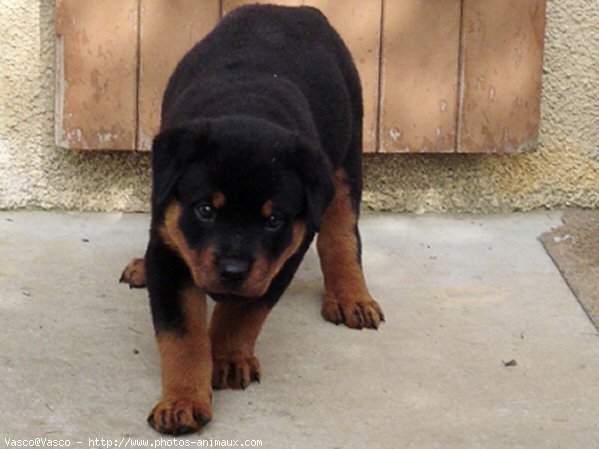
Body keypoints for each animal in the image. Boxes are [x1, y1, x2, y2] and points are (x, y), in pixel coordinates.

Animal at [120, 3, 386, 434]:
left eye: (273, 220)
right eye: (205, 210)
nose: (232, 270)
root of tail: (295, 11)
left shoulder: (283, 256)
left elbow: (244, 311)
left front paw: (227, 358)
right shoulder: (168, 246)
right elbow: (183, 337)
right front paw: (182, 402)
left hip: (347, 158)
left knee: (342, 235)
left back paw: (351, 297)